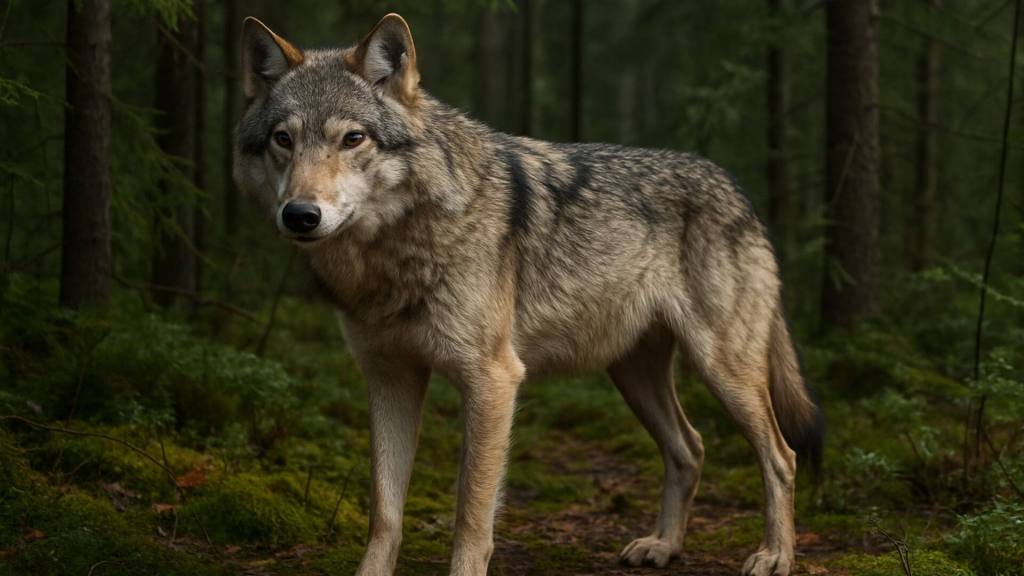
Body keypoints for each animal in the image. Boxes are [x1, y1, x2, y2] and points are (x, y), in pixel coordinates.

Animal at [234, 13, 823, 576]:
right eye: (283, 139)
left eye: (352, 139)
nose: (300, 214)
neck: (392, 254)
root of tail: (737, 188)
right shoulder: (388, 376)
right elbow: (385, 511)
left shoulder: (493, 380)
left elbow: (471, 517)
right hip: (633, 375)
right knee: (690, 448)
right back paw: (663, 546)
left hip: (724, 371)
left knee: (782, 456)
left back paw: (775, 556)